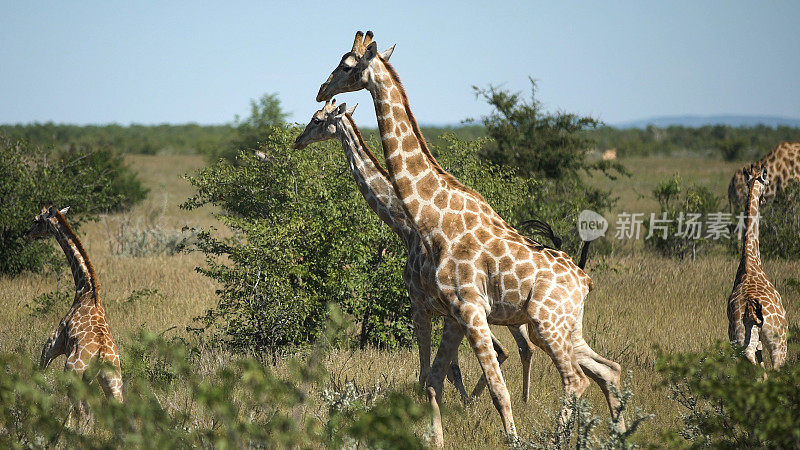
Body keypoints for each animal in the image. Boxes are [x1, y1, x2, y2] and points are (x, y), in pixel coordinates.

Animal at [24, 206, 123, 428]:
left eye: (36, 220)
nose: (26, 234)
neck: (85, 290)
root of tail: (101, 355)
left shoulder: (53, 344)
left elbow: (40, 372)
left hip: (74, 375)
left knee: (82, 412)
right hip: (113, 383)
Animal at [290, 98, 536, 400]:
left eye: (316, 119)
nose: (298, 141)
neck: (405, 227)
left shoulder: (419, 302)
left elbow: (428, 369)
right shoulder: (446, 311)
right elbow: (450, 369)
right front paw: (460, 401)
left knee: (513, 348)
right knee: (521, 347)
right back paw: (515, 400)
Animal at [316, 30, 620, 442]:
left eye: (347, 65)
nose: (320, 90)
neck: (430, 220)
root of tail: (585, 280)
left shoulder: (467, 308)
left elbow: (496, 389)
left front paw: (512, 440)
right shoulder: (456, 313)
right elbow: (434, 380)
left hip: (546, 324)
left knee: (576, 380)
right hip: (565, 326)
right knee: (608, 370)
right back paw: (618, 434)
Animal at [724, 166, 788, 370]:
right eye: (766, 183)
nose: (765, 199)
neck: (751, 261)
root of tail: (752, 308)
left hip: (741, 339)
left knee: (752, 362)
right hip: (779, 342)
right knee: (775, 369)